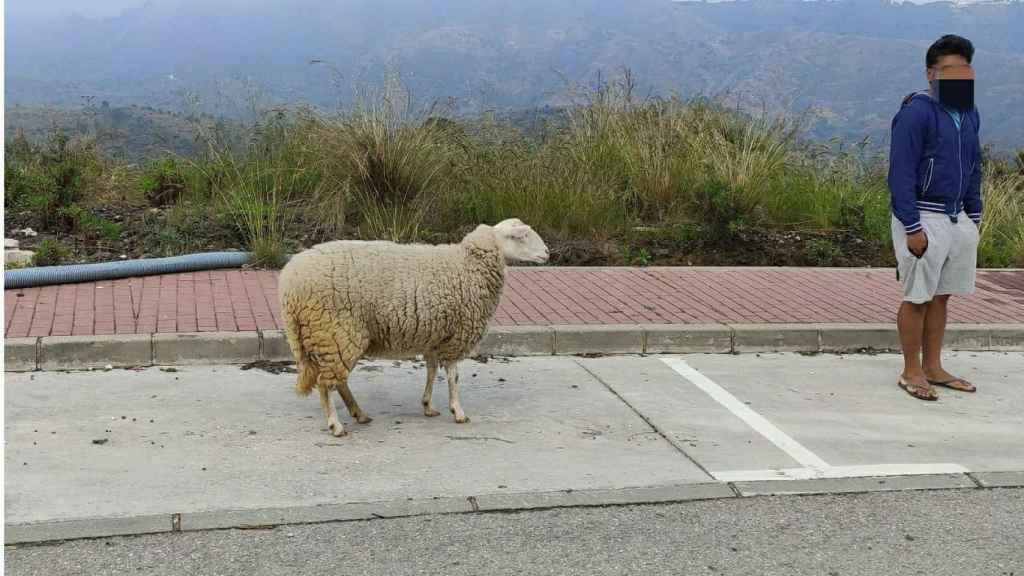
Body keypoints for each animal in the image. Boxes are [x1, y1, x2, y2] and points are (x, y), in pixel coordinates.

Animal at [280, 217, 548, 432]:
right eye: (522, 236)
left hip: (333, 336)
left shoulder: (436, 334)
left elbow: (431, 370)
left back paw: (359, 414)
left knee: (338, 380)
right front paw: (458, 411)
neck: (468, 264)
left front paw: (428, 405)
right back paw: (336, 425)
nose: (547, 253)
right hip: (335, 330)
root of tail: (289, 285)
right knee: (326, 383)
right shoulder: (457, 334)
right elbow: (453, 376)